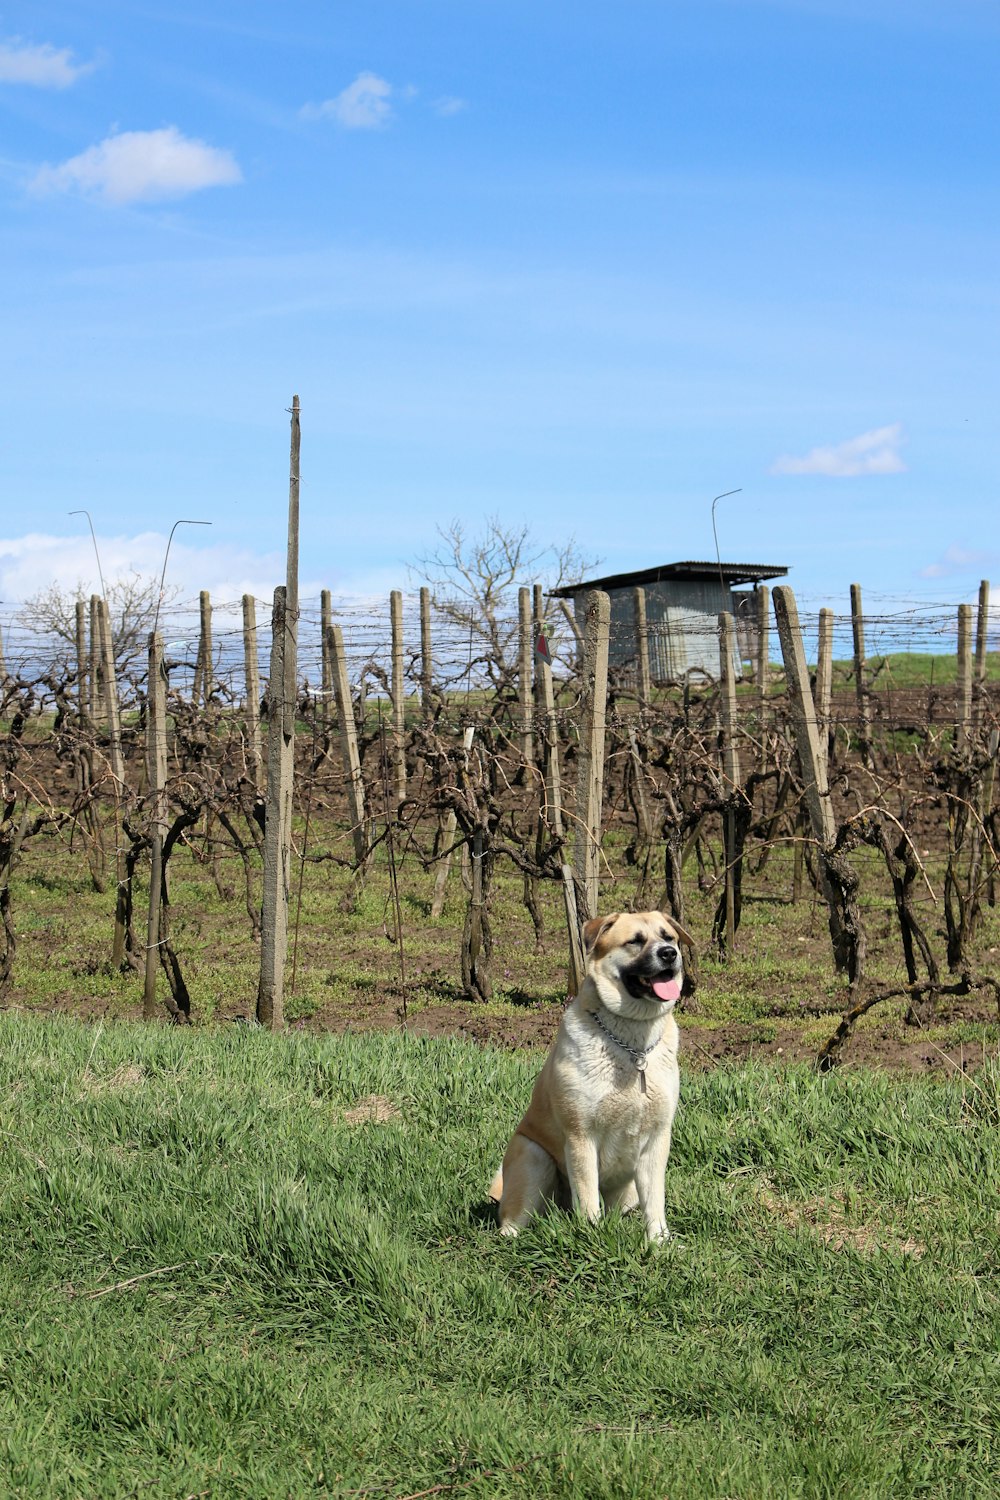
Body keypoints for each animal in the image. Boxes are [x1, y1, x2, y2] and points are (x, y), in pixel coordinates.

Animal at [488, 912, 692, 1242]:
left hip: (628, 1190)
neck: (632, 1045)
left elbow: (655, 1202)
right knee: (513, 1221)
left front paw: (659, 1242)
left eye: (668, 937)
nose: (669, 954)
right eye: (635, 941)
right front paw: (593, 1237)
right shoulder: (580, 1136)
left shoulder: (657, 1138)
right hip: (532, 1156)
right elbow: (586, 1197)